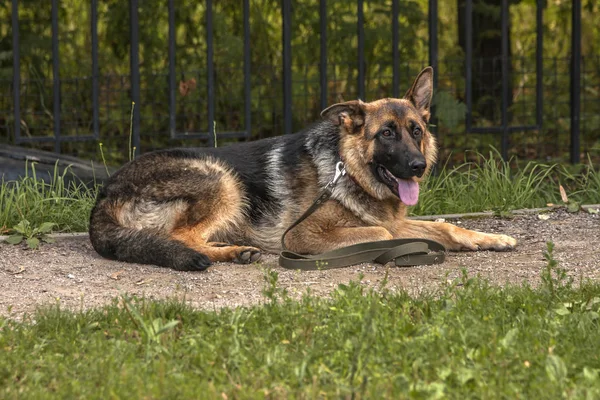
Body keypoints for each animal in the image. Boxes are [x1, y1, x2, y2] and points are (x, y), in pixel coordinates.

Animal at [89, 68, 516, 272]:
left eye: (416, 131)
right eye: (386, 134)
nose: (418, 166)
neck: (347, 170)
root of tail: (104, 195)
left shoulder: (398, 219)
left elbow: (444, 227)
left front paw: (490, 238)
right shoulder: (301, 236)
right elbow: (382, 232)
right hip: (222, 179)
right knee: (182, 238)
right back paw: (233, 252)